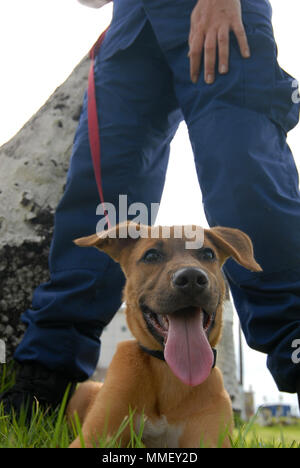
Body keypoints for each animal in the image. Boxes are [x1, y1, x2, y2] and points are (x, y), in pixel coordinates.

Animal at [67, 221, 262, 448]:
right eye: (151, 255)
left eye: (208, 253)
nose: (192, 278)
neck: (168, 371)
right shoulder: (94, 436)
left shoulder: (211, 438)